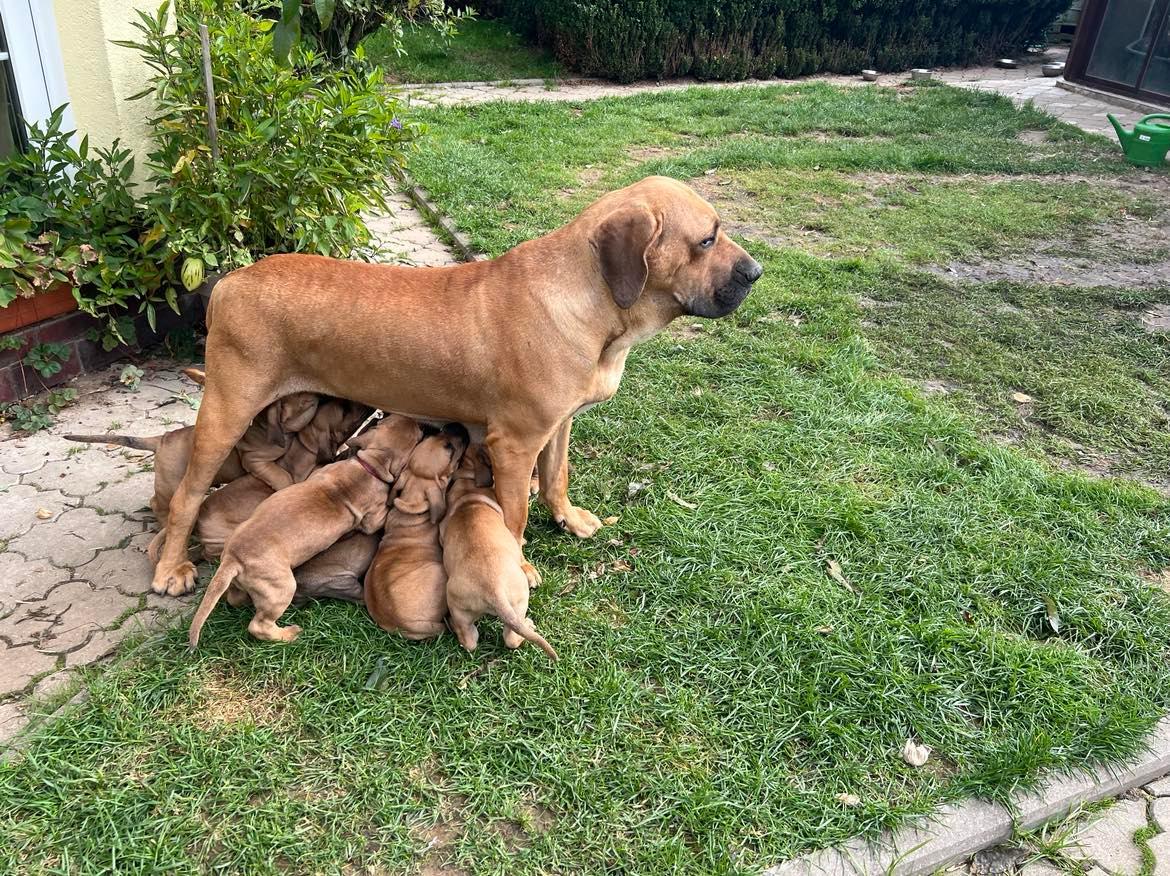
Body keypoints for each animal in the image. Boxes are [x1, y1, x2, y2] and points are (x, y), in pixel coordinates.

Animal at [442, 446, 561, 659]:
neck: (469, 486)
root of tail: (494, 589)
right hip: (520, 601)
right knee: (511, 638)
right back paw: (527, 624)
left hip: (459, 608)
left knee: (469, 640)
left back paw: (454, 627)